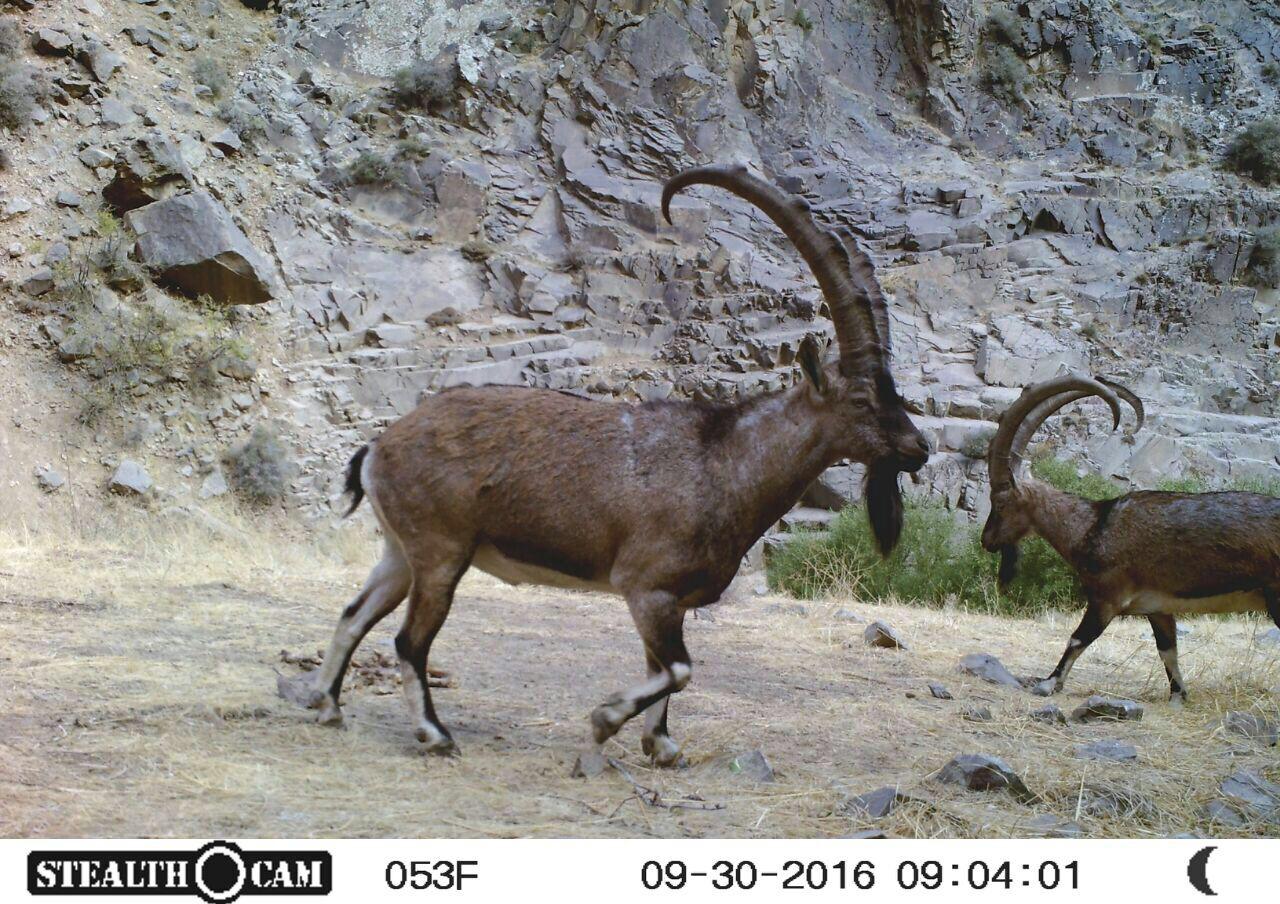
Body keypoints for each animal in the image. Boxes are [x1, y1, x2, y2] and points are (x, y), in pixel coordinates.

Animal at [277, 164, 931, 763]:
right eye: (863, 400)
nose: (919, 448)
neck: (725, 462)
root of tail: (378, 448)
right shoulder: (645, 587)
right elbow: (679, 671)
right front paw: (604, 720)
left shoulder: (670, 602)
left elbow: (665, 671)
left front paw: (660, 745)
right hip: (441, 552)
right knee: (409, 641)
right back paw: (434, 734)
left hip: (400, 550)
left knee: (354, 614)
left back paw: (329, 706)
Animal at [981, 374, 1280, 705]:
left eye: (1000, 502)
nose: (986, 540)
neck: (1092, 526)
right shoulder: (1157, 608)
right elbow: (1167, 651)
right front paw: (1178, 696)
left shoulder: (1107, 597)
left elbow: (1078, 638)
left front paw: (1048, 684)